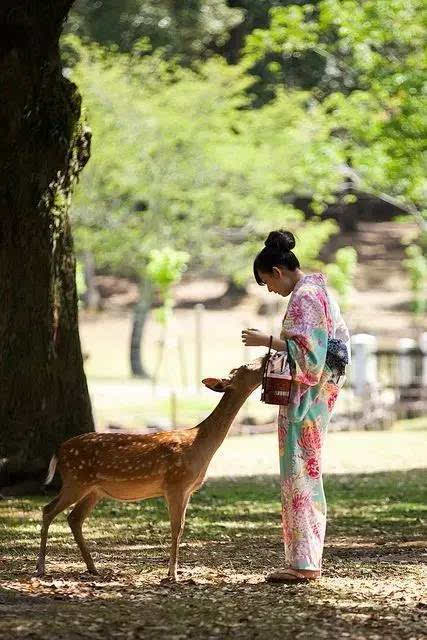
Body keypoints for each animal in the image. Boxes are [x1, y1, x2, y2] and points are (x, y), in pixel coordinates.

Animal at [36, 358, 264, 584]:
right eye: (246, 367)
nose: (264, 359)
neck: (200, 445)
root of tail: (59, 451)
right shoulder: (176, 484)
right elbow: (176, 527)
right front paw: (172, 574)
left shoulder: (188, 490)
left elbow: (181, 527)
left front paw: (173, 572)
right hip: (76, 480)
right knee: (48, 510)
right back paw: (41, 567)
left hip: (93, 490)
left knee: (74, 518)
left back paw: (93, 568)